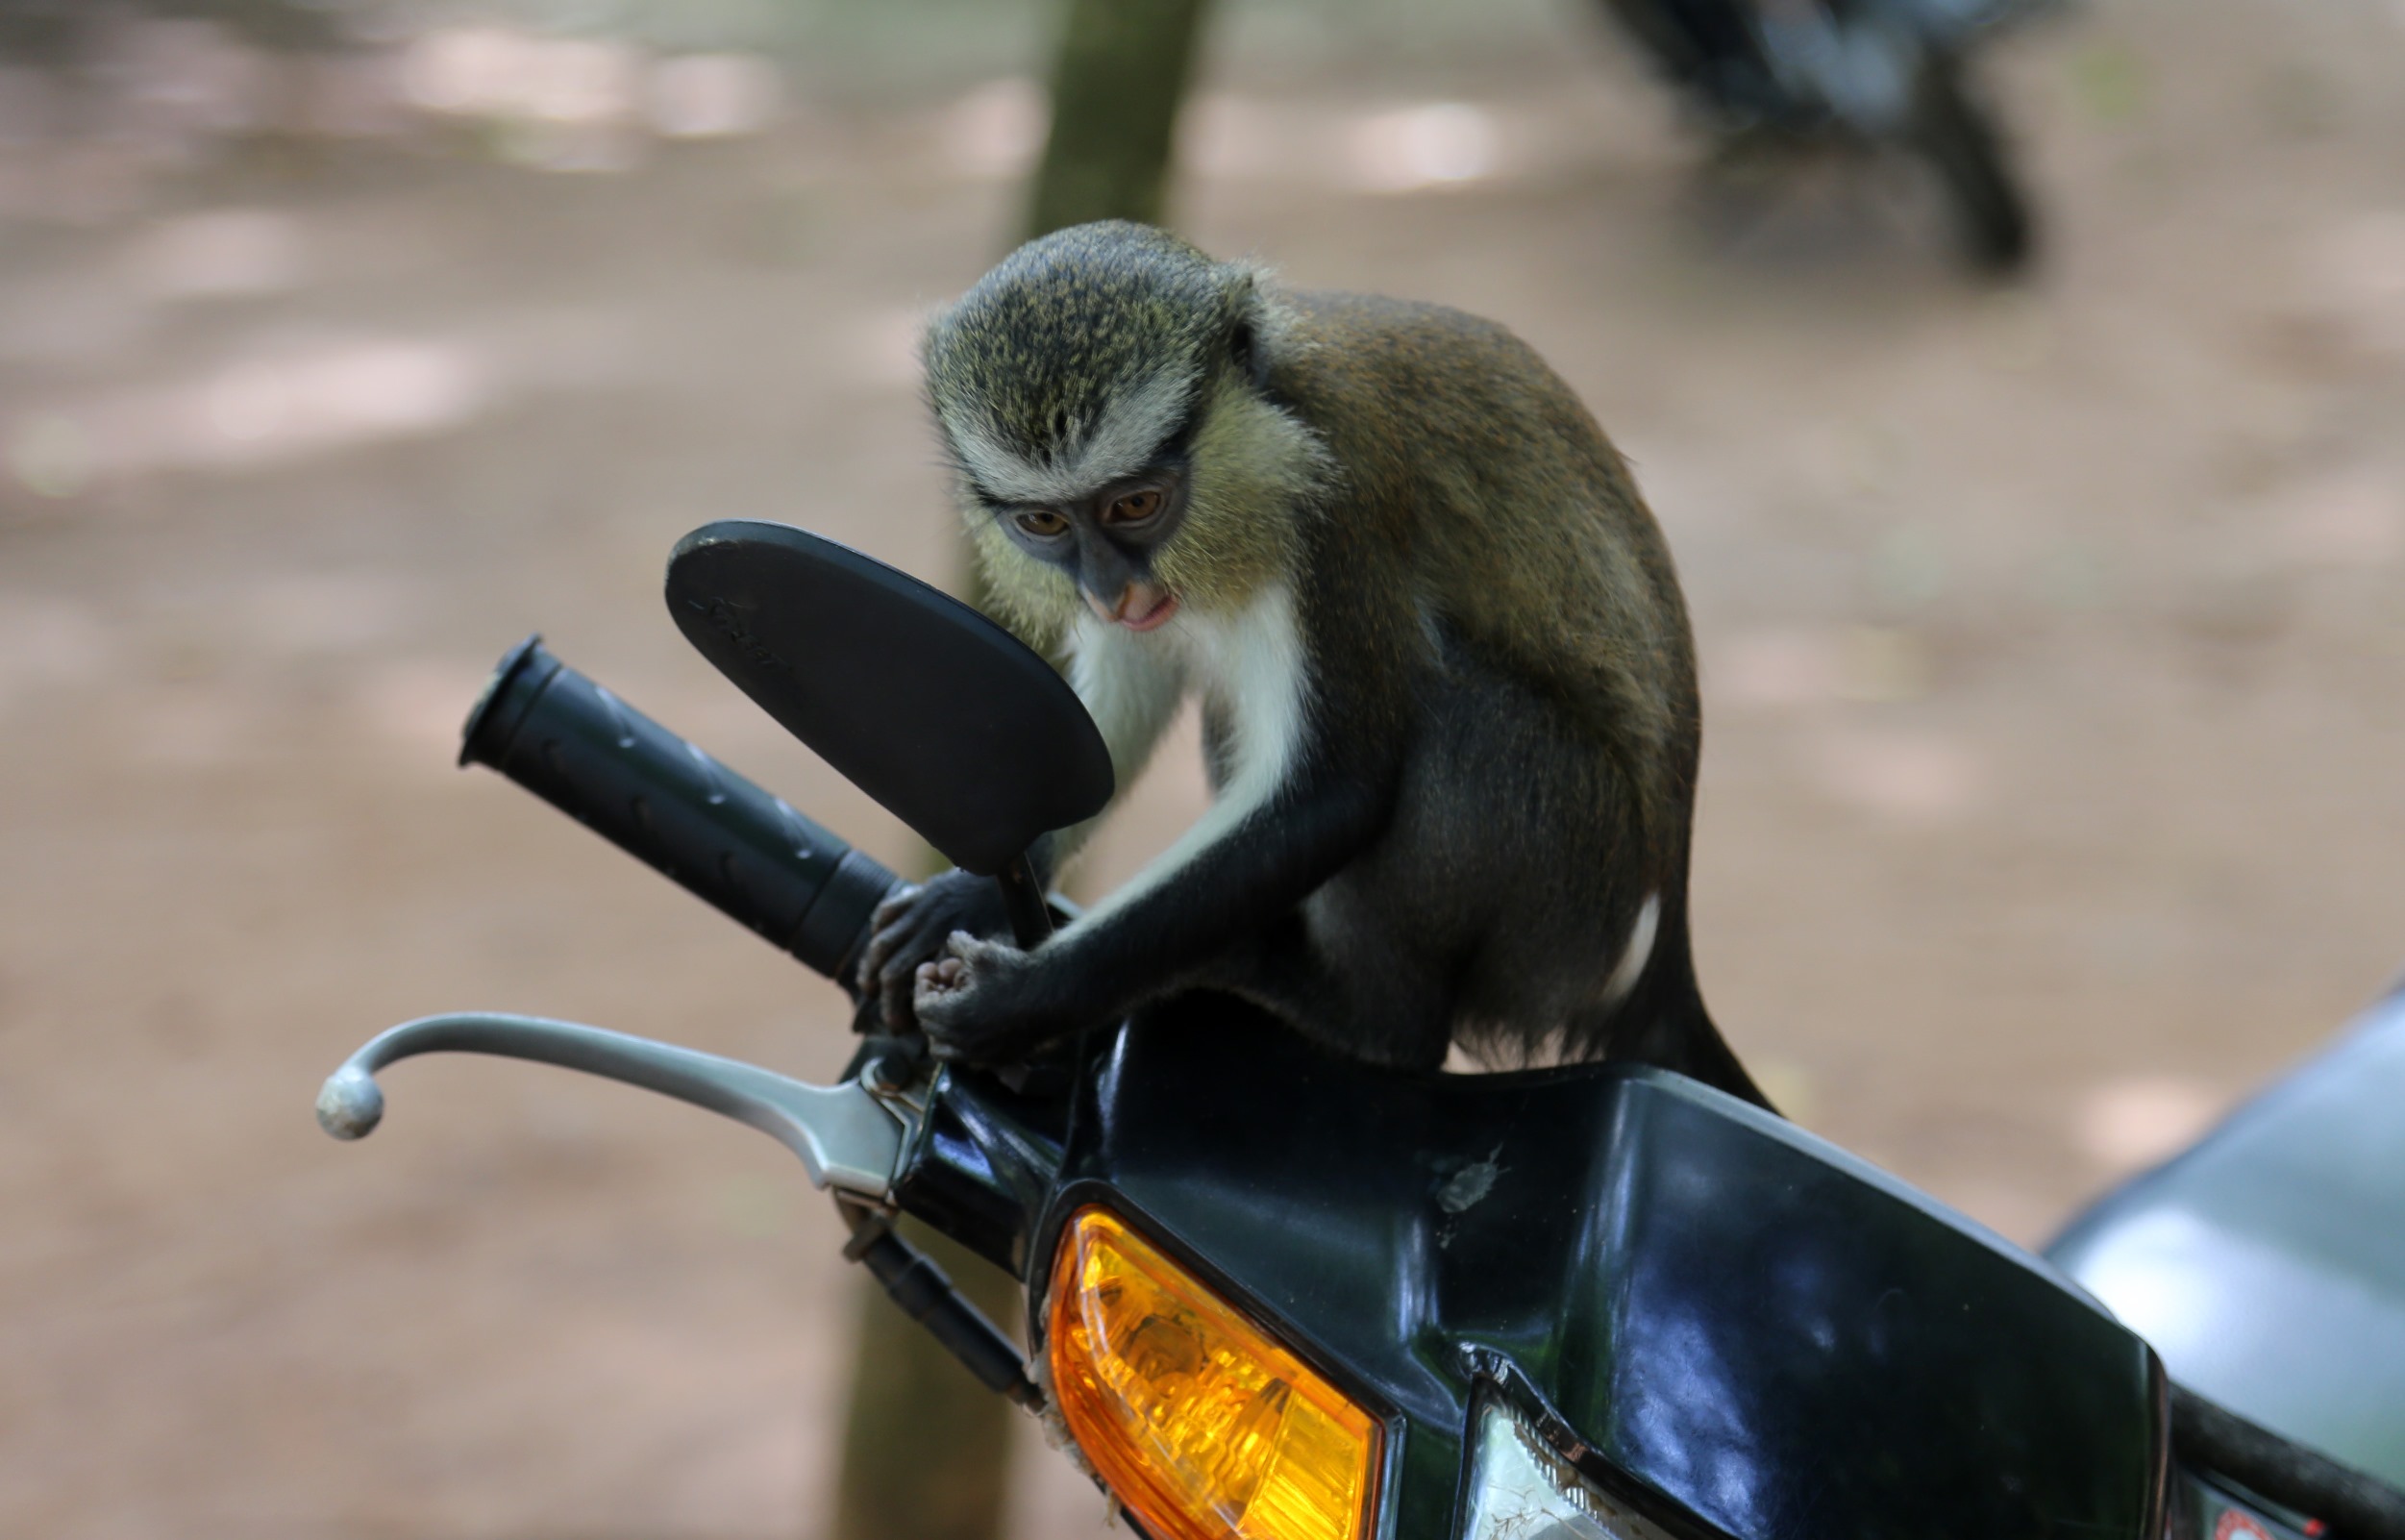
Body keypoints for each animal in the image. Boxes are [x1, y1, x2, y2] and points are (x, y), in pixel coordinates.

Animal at [855, 220, 1767, 1108]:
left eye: (1136, 504)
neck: (1263, 419)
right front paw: (973, 890)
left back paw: (1361, 1015)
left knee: (1454, 722)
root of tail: (1661, 966)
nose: (1112, 590)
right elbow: (1111, 713)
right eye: (1044, 522)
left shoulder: (1339, 511)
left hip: (1571, 907)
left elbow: (1337, 791)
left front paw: (1022, 1001)